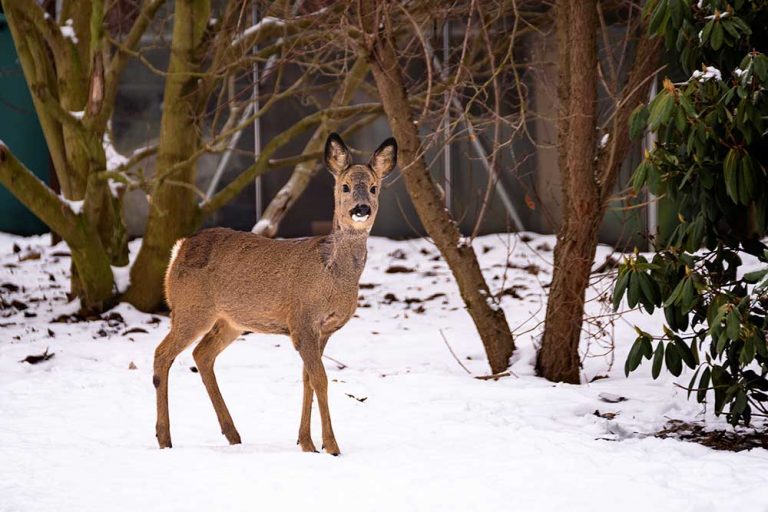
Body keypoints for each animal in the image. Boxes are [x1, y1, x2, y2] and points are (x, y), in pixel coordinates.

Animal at [154, 133, 400, 456]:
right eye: (345, 186)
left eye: (373, 187)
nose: (361, 208)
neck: (332, 276)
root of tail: (178, 249)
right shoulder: (302, 319)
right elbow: (321, 379)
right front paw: (331, 446)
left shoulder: (324, 329)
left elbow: (308, 379)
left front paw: (306, 442)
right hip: (190, 308)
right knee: (162, 354)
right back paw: (164, 438)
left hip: (230, 321)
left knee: (202, 354)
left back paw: (233, 434)